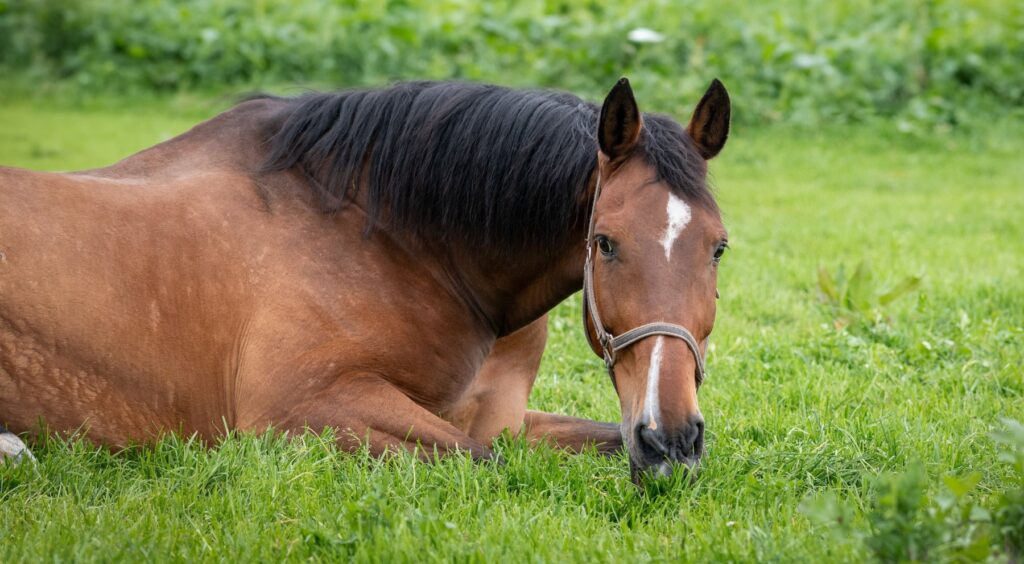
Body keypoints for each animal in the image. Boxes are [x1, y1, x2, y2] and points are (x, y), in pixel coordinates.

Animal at [4, 75, 733, 481]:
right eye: (605, 243)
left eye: (718, 248)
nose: (671, 439)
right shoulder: (303, 410)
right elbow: (488, 464)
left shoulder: (499, 418)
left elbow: (587, 439)